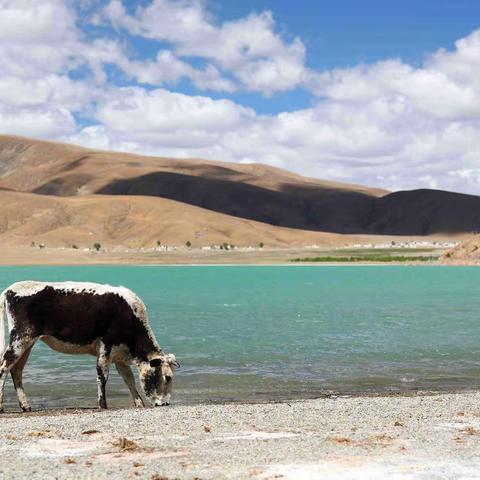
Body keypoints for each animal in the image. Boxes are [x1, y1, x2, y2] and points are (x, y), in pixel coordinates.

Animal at [0, 282, 179, 412]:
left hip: (27, 342)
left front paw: (138, 403)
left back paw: (25, 406)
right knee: (4, 366)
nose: (166, 403)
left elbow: (129, 379)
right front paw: (103, 405)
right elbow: (103, 375)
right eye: (167, 377)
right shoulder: (106, 346)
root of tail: (10, 289)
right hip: (20, 338)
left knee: (16, 370)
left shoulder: (119, 354)